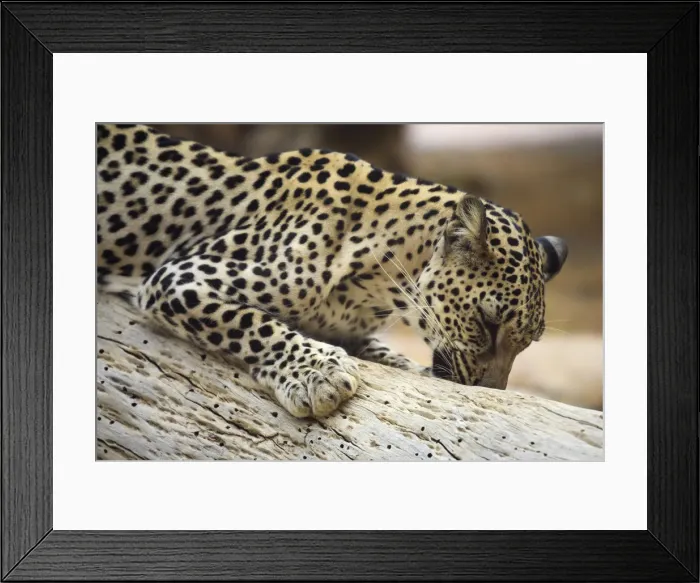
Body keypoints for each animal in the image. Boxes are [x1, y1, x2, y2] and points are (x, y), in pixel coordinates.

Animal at [97, 123, 568, 418]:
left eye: (527, 343)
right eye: (487, 323)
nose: (492, 393)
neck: (380, 288)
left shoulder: (352, 329)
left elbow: (384, 352)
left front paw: (408, 368)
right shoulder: (178, 278)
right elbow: (248, 322)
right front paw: (316, 375)